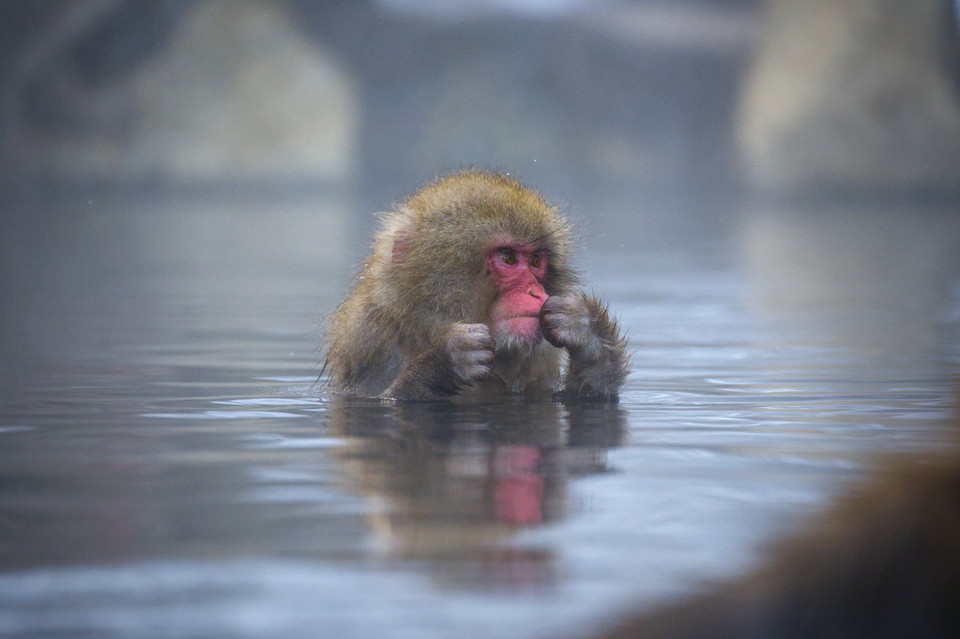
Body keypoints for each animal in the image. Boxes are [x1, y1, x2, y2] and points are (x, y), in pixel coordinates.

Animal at [322, 170, 629, 402]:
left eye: (536, 261)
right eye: (508, 258)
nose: (536, 292)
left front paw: (587, 332)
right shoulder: (369, 348)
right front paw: (441, 362)